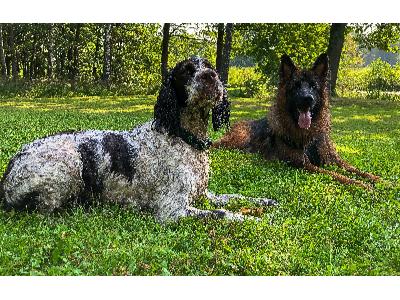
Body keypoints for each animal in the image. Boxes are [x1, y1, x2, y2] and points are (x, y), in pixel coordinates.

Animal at [214, 53, 380, 189]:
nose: (307, 99)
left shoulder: (334, 160)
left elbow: (358, 170)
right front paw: (361, 185)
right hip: (238, 140)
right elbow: (338, 175)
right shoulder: (305, 165)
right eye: (296, 86)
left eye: (313, 86)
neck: (309, 137)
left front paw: (380, 181)